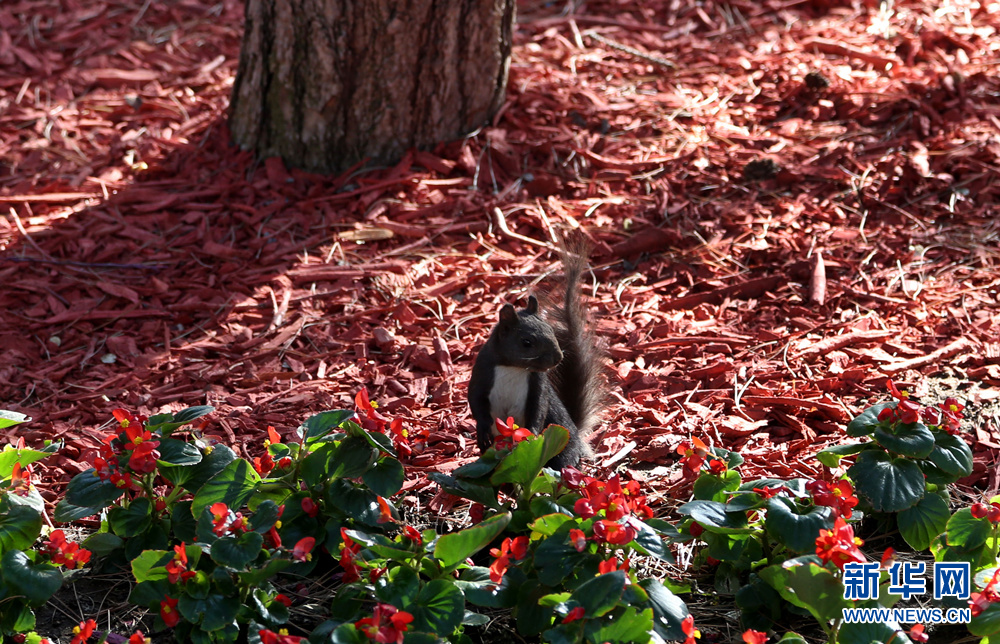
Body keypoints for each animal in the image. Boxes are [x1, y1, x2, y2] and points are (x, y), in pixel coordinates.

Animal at [466, 252, 600, 468]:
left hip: (563, 444)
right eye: (526, 342)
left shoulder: (538, 383)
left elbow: (539, 407)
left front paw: (533, 435)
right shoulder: (481, 373)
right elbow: (476, 401)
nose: (558, 358)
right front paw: (483, 428)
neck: (514, 368)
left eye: (551, 330)